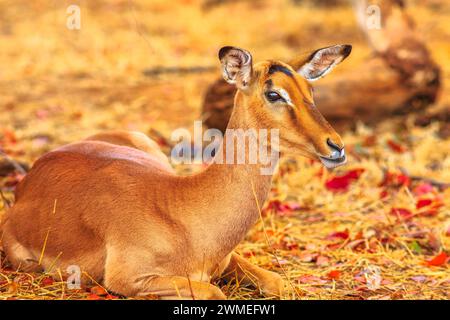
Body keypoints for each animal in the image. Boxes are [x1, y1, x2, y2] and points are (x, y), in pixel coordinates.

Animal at [0, 43, 352, 298]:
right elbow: (214, 292)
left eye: (310, 92)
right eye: (274, 93)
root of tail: (31, 175)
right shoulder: (129, 279)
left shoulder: (228, 258)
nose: (336, 146)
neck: (185, 212)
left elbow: (278, 283)